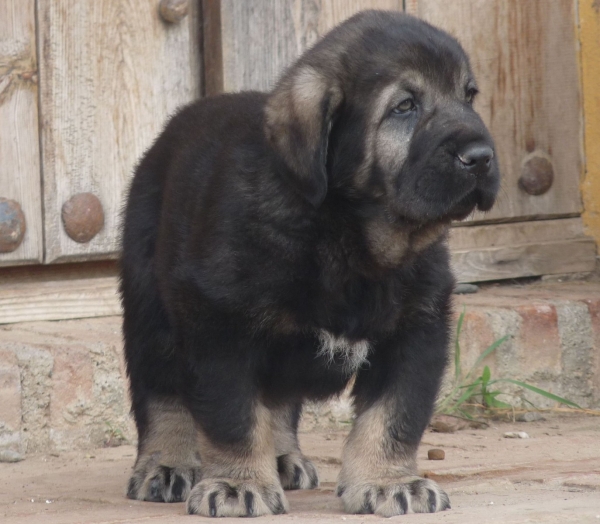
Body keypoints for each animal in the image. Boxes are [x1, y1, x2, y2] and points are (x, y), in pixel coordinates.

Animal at [119, 9, 500, 520]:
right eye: (405, 106)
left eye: (469, 96)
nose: (481, 157)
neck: (347, 234)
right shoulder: (220, 326)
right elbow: (233, 416)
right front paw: (239, 483)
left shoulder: (417, 329)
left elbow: (395, 414)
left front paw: (389, 481)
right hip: (150, 308)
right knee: (161, 392)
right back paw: (166, 464)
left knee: (278, 400)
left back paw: (282, 457)